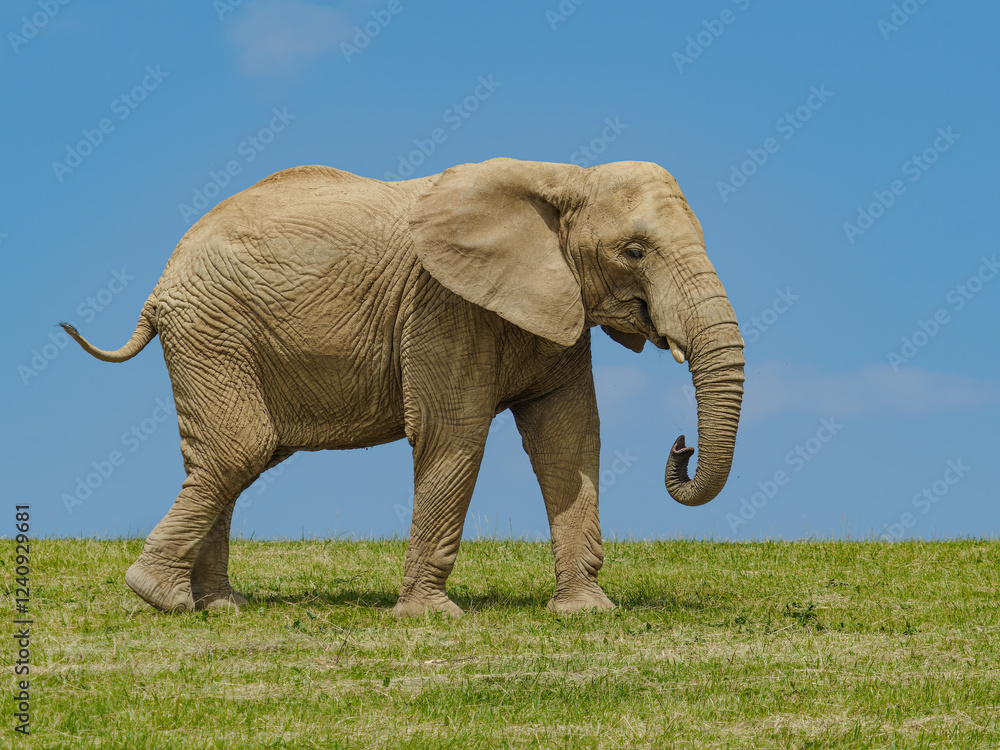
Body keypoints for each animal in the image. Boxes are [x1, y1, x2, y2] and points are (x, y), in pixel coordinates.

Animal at [63, 157, 744, 617]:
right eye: (634, 251)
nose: (681, 445)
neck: (562, 176)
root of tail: (160, 282)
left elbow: (568, 439)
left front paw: (586, 613)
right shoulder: (443, 305)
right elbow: (453, 434)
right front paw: (431, 618)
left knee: (228, 459)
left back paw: (218, 606)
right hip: (212, 330)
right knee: (240, 449)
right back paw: (162, 598)